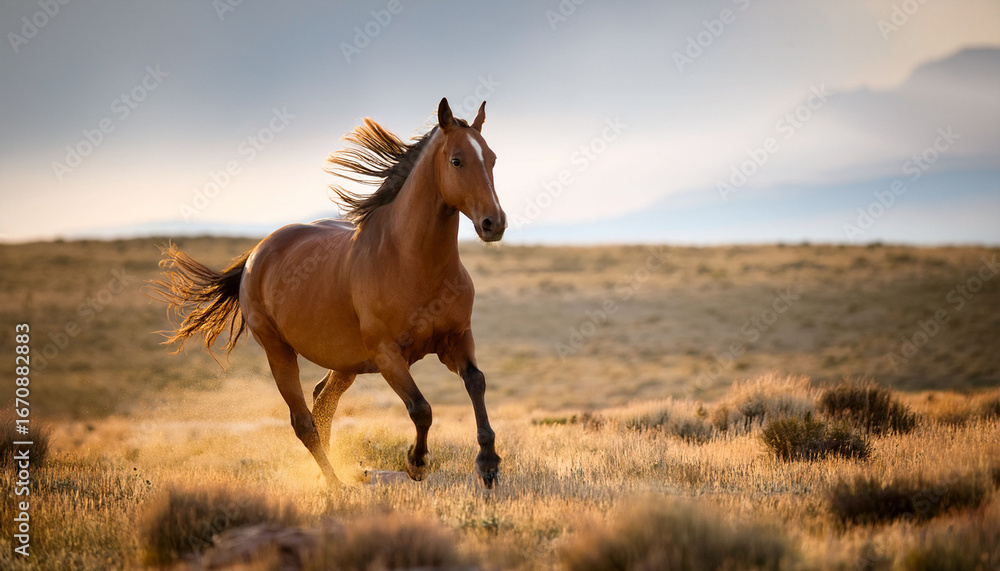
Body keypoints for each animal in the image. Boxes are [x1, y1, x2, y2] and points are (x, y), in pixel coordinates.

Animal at [151, 98, 506, 488]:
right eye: (457, 160)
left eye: (492, 158)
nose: (494, 223)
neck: (412, 263)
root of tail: (256, 254)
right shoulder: (387, 354)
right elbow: (421, 408)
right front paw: (416, 463)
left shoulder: (456, 339)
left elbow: (476, 383)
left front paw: (489, 464)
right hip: (279, 352)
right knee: (304, 421)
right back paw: (335, 486)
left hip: (345, 362)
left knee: (323, 402)